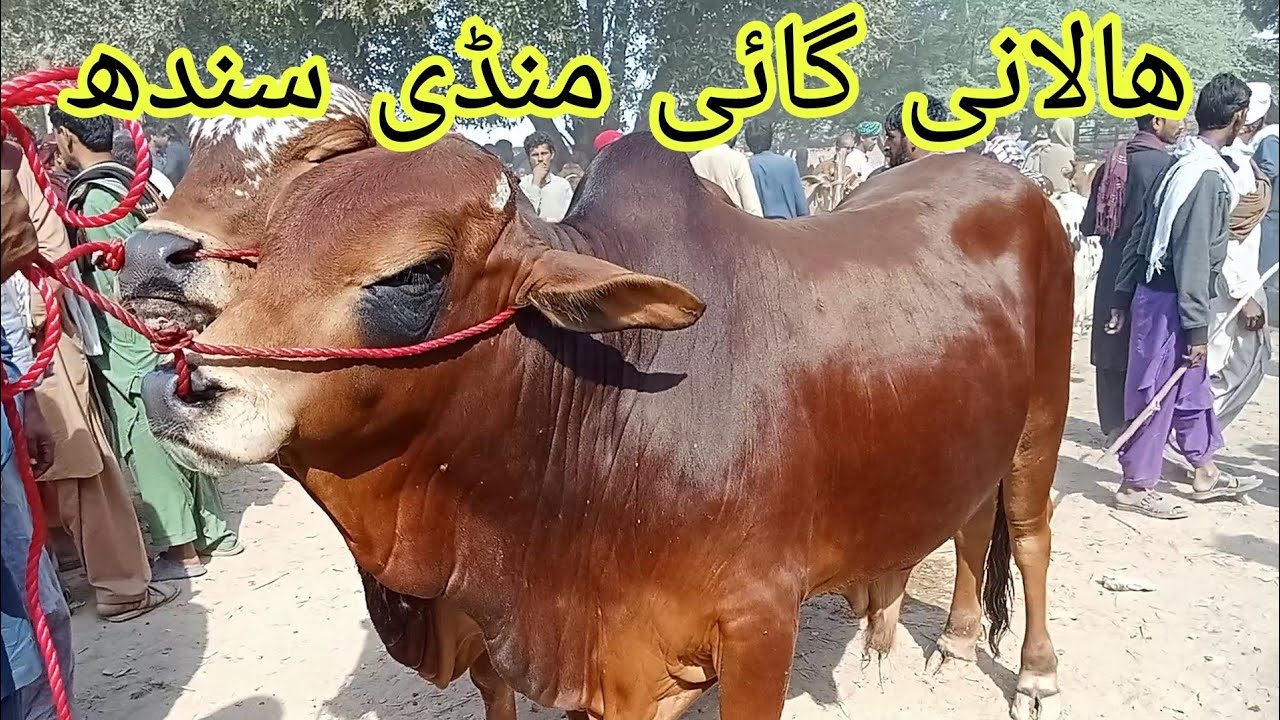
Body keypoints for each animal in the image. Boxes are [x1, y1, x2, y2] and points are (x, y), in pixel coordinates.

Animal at [120, 99, 1027, 713]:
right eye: (271, 243)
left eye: (417, 272)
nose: (176, 386)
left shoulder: (759, 625)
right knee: (966, 522)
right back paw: (919, 642)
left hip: (1038, 428)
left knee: (1027, 536)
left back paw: (1030, 675)